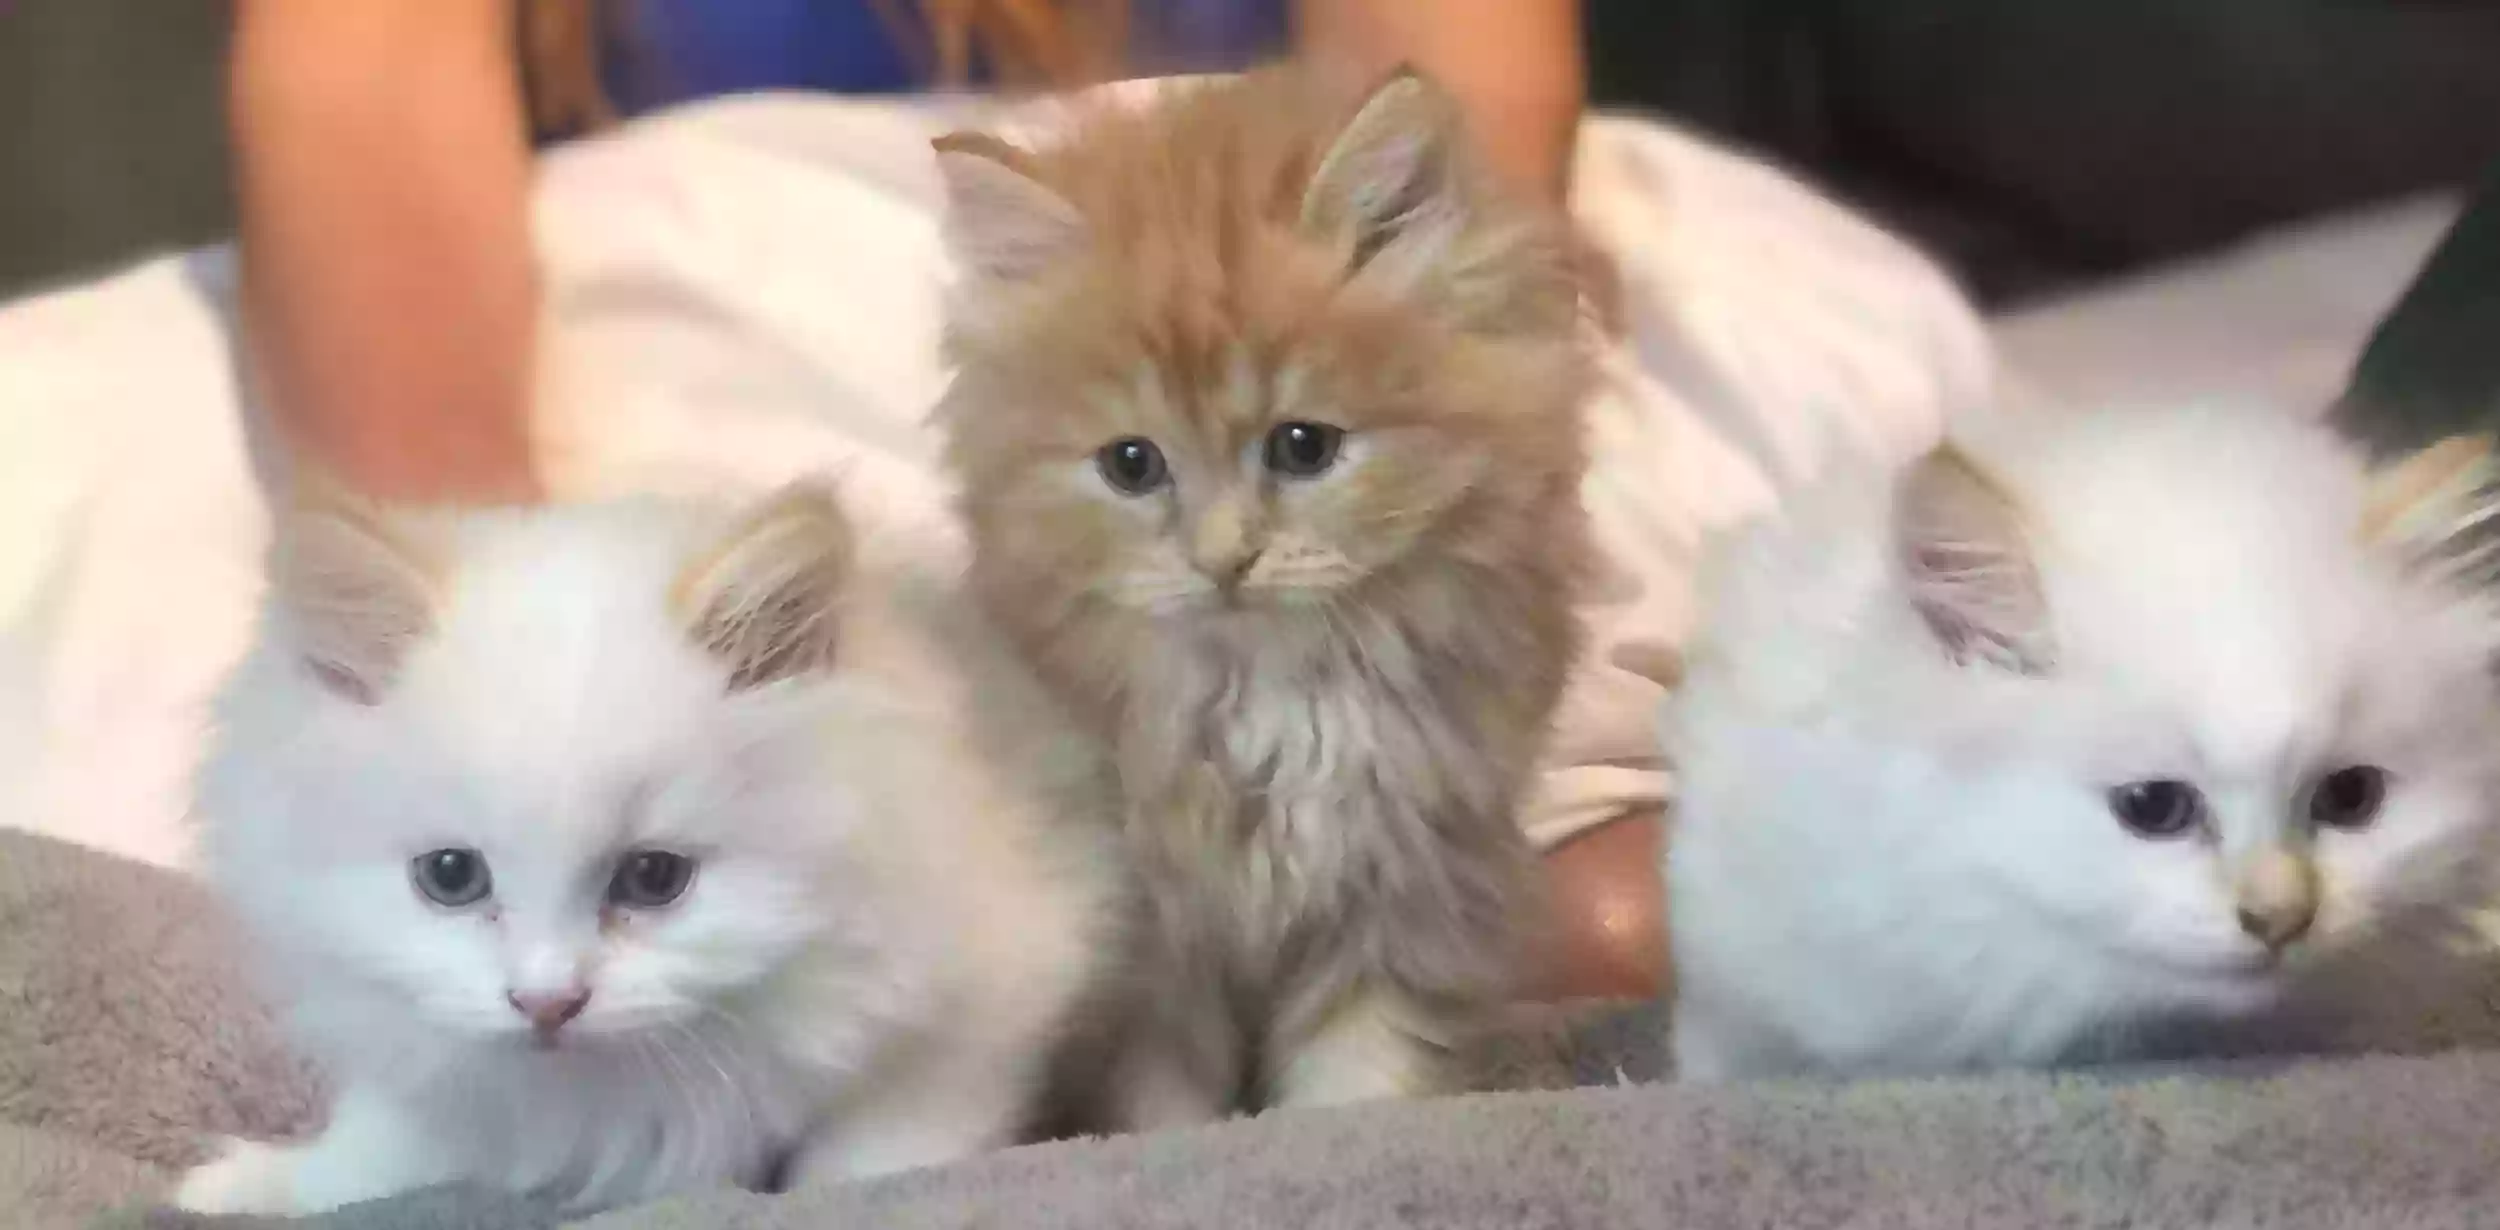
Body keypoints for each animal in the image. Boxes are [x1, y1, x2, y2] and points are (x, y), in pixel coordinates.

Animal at [176, 482, 1115, 1210]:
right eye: (450, 877)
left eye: (654, 878)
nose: (545, 1004)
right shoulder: (448, 1079)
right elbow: (375, 1155)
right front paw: (243, 1189)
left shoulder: (977, 1009)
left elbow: (875, 1160)